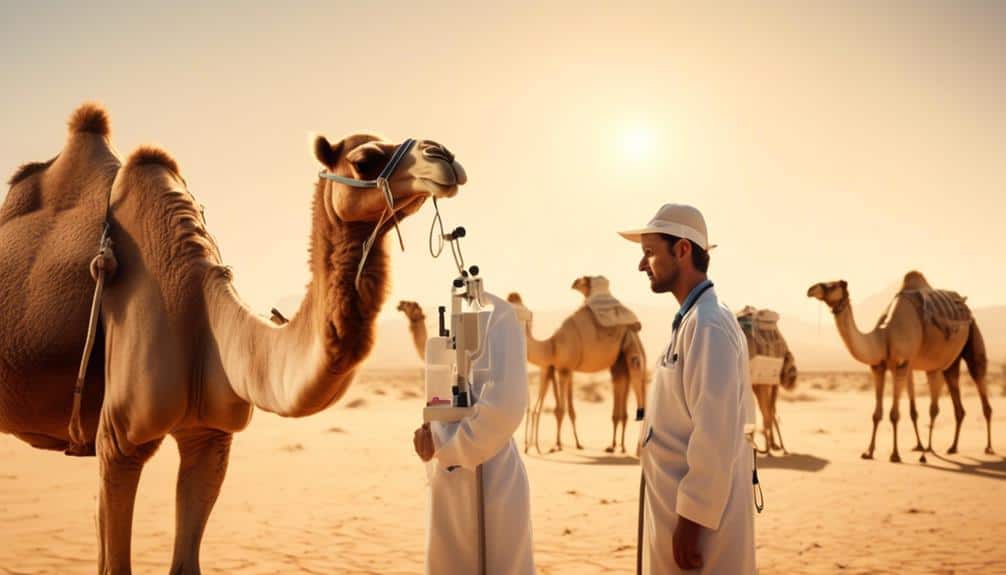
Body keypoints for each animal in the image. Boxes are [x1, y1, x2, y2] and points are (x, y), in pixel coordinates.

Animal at [0, 103, 465, 574]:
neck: (198, 309)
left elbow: (186, 563)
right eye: (365, 159)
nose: (443, 154)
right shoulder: (119, 441)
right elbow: (115, 563)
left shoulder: (211, 435)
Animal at [507, 276, 647, 454]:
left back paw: (634, 449)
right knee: (621, 381)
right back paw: (616, 446)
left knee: (638, 380)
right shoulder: (565, 368)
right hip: (619, 358)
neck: (551, 346)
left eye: (520, 309)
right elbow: (567, 409)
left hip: (631, 341)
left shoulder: (564, 369)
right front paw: (570, 444)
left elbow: (560, 410)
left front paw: (556, 445)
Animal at [808, 271, 993, 463]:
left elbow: (894, 414)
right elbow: (877, 414)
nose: (810, 290)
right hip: (948, 363)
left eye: (832, 285)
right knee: (955, 399)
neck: (883, 337)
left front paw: (895, 454)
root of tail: (964, 305)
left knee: (979, 381)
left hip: (973, 333)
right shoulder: (878, 368)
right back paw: (951, 447)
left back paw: (985, 448)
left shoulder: (902, 365)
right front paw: (869, 452)